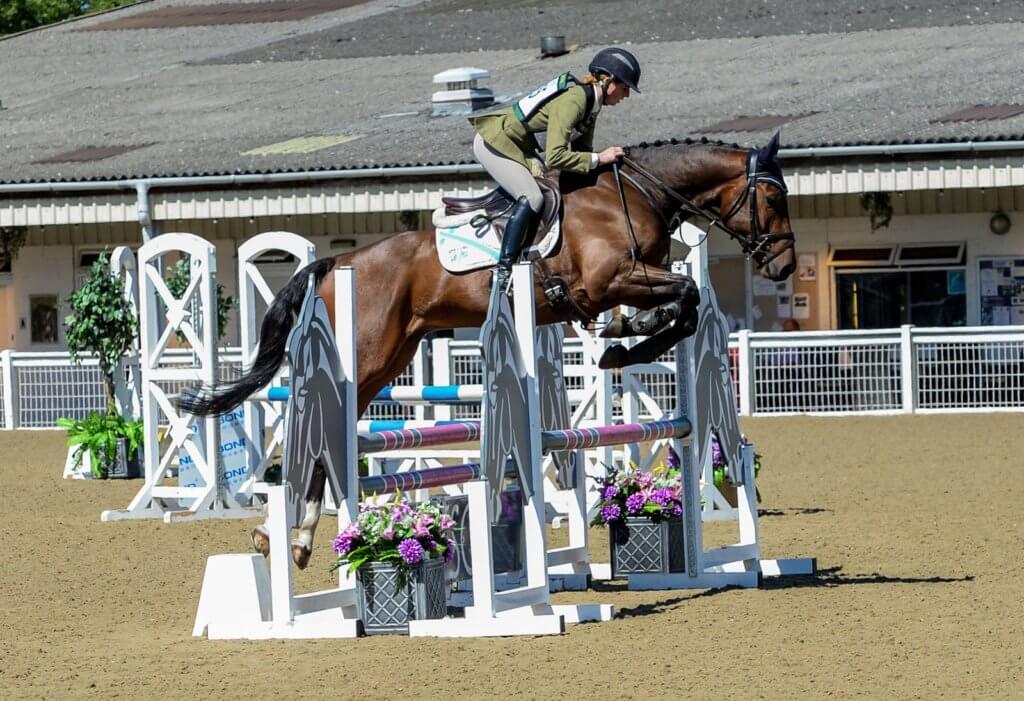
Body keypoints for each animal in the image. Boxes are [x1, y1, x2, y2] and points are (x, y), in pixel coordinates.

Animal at [180, 133, 797, 567]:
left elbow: (686, 304)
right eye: (772, 195)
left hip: (391, 357)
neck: (634, 196)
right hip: (365, 355)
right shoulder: (607, 281)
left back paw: (295, 536)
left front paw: (630, 335)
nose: (785, 265)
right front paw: (624, 343)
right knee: (319, 429)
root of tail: (338, 263)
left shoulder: (631, 281)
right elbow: (686, 292)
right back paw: (290, 536)